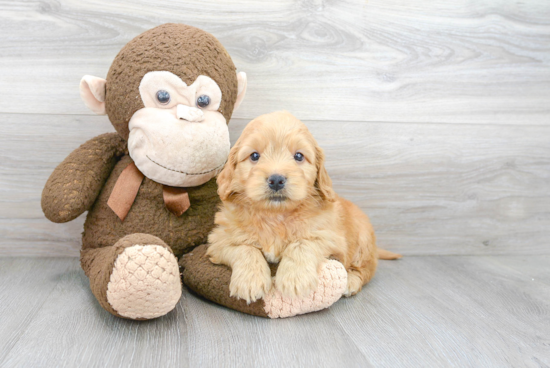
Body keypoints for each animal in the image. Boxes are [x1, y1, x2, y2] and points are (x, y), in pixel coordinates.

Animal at [207, 111, 402, 302]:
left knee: (364, 270)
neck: (275, 215)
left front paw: (294, 279)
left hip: (363, 242)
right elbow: (244, 248)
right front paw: (250, 281)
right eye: (254, 156)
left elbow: (301, 243)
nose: (276, 180)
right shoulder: (219, 239)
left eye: (299, 156)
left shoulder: (330, 237)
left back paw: (351, 282)